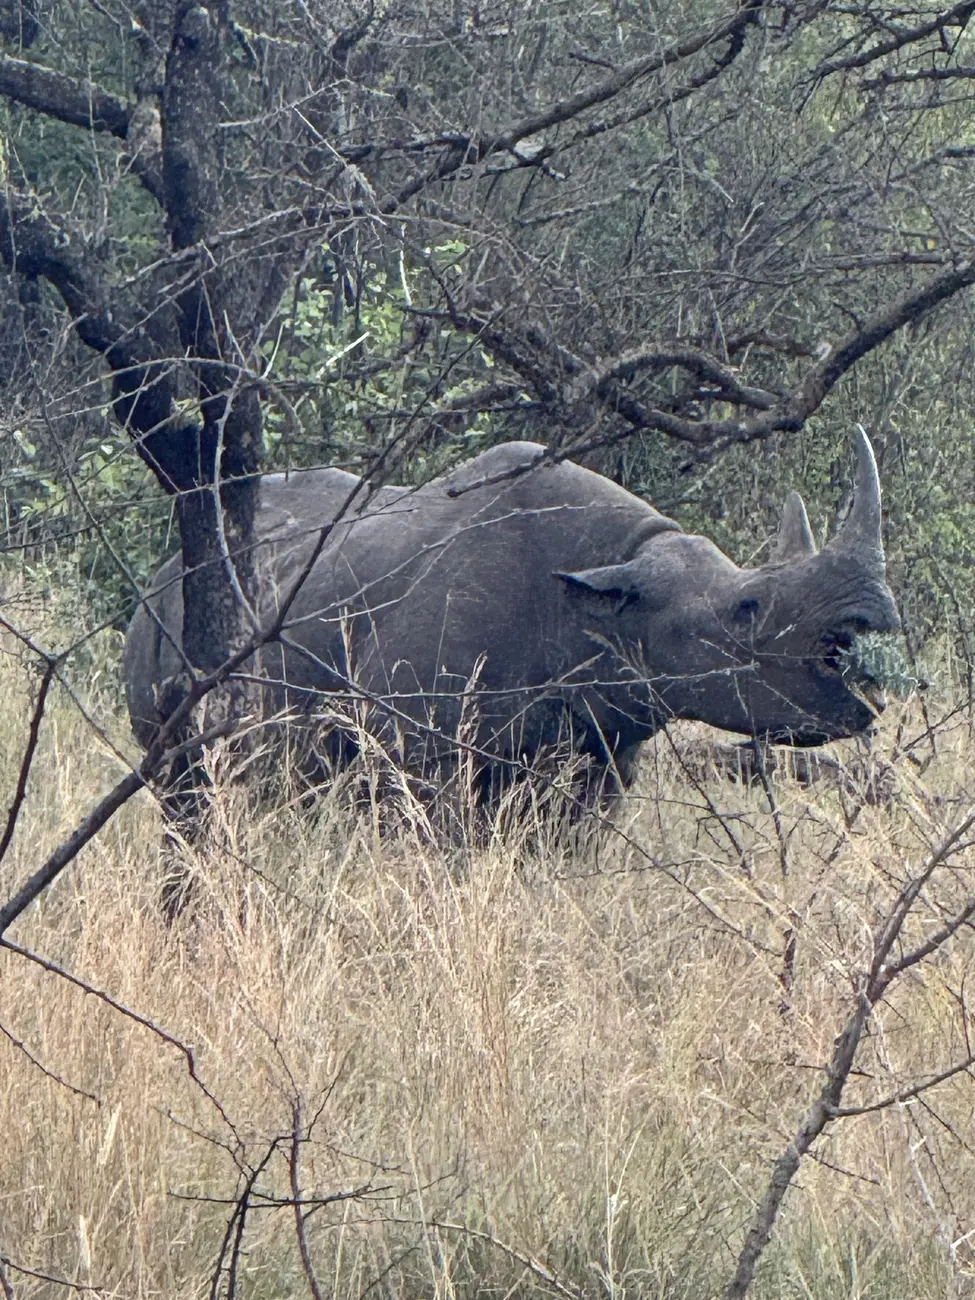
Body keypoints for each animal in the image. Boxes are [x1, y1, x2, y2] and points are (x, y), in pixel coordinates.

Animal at [125, 430, 900, 799]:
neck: (609, 598)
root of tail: (163, 572)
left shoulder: (599, 762)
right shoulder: (416, 754)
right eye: (747, 608)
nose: (873, 618)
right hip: (164, 628)